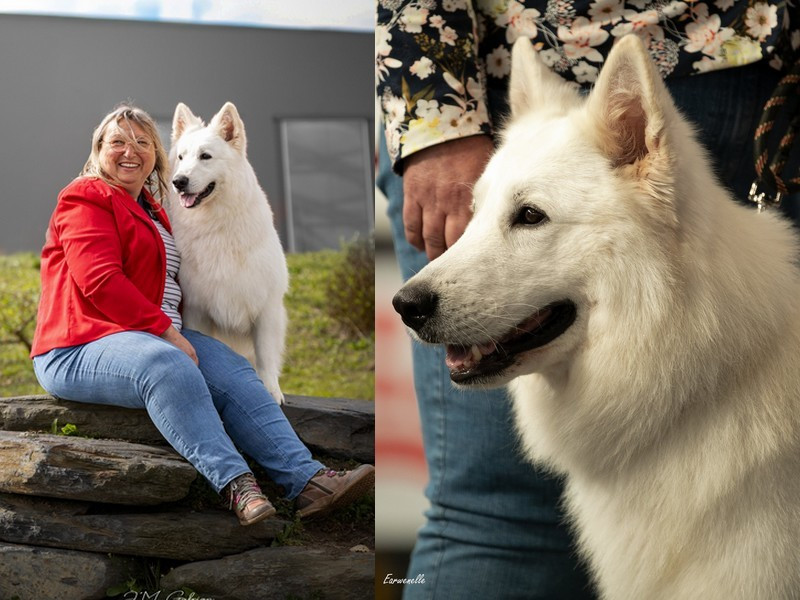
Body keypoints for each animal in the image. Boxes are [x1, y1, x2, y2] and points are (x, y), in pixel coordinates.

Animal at [169, 102, 288, 405]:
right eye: (181, 157)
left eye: (205, 156)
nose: (178, 181)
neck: (216, 227)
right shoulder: (197, 309)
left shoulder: (266, 308)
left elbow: (266, 355)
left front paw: (271, 389)